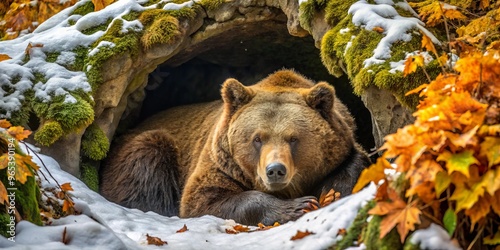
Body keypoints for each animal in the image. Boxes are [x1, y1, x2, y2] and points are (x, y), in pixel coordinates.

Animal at [99, 69, 372, 226]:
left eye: (293, 138)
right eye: (257, 138)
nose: (275, 170)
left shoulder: (343, 144)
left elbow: (354, 164)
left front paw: (330, 193)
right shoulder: (220, 162)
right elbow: (203, 200)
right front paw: (297, 206)